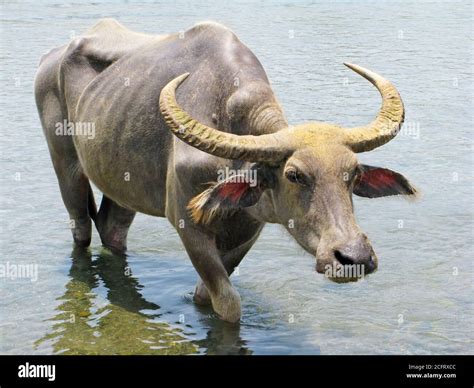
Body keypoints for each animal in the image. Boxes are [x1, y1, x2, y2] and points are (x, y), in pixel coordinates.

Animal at [36, 18, 414, 322]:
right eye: (294, 175)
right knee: (82, 228)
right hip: (65, 164)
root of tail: (50, 59)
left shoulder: (248, 230)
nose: (354, 256)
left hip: (123, 184)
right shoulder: (187, 224)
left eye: (354, 174)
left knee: (112, 228)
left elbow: (207, 296)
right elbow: (229, 305)